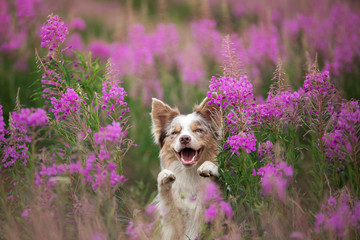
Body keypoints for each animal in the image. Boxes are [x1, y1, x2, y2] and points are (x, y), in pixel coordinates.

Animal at [151, 94, 221, 240]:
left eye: (198, 130)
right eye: (174, 133)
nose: (184, 138)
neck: (191, 173)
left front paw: (209, 167)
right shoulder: (174, 229)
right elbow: (168, 203)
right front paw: (164, 177)